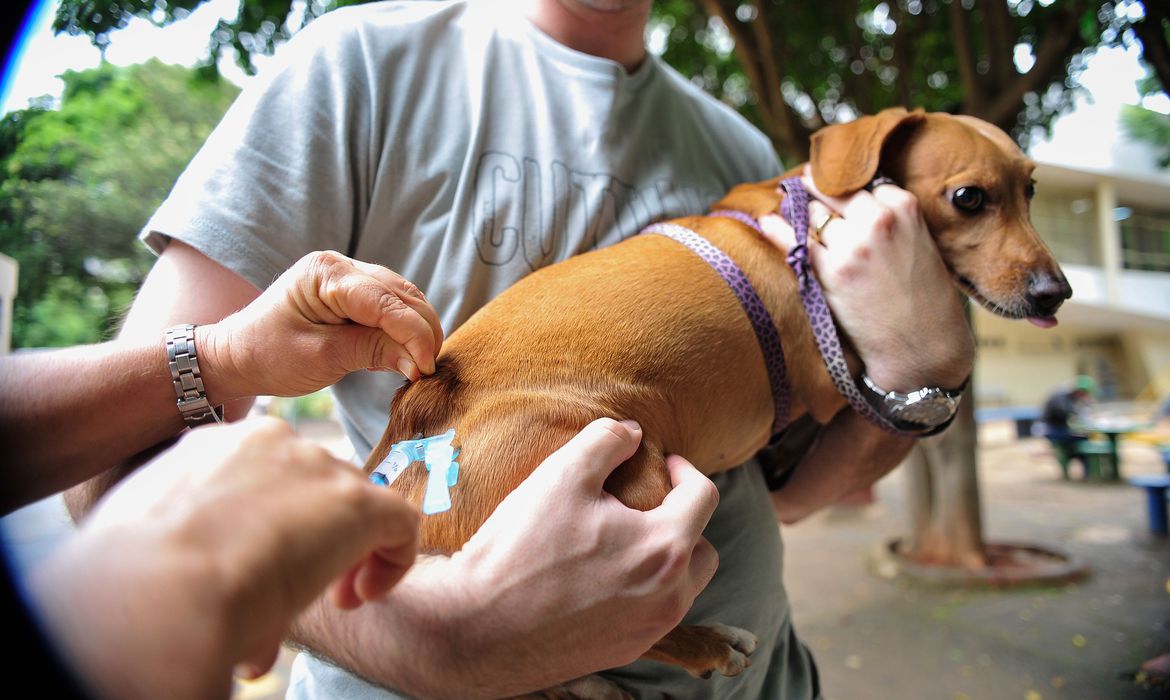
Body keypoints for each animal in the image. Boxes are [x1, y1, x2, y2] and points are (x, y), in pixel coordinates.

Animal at [362, 107, 1071, 692]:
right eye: (969, 198)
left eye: (1032, 191)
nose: (1056, 292)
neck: (801, 216)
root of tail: (418, 420)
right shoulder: (831, 383)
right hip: (636, 477)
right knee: (612, 634)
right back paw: (704, 644)